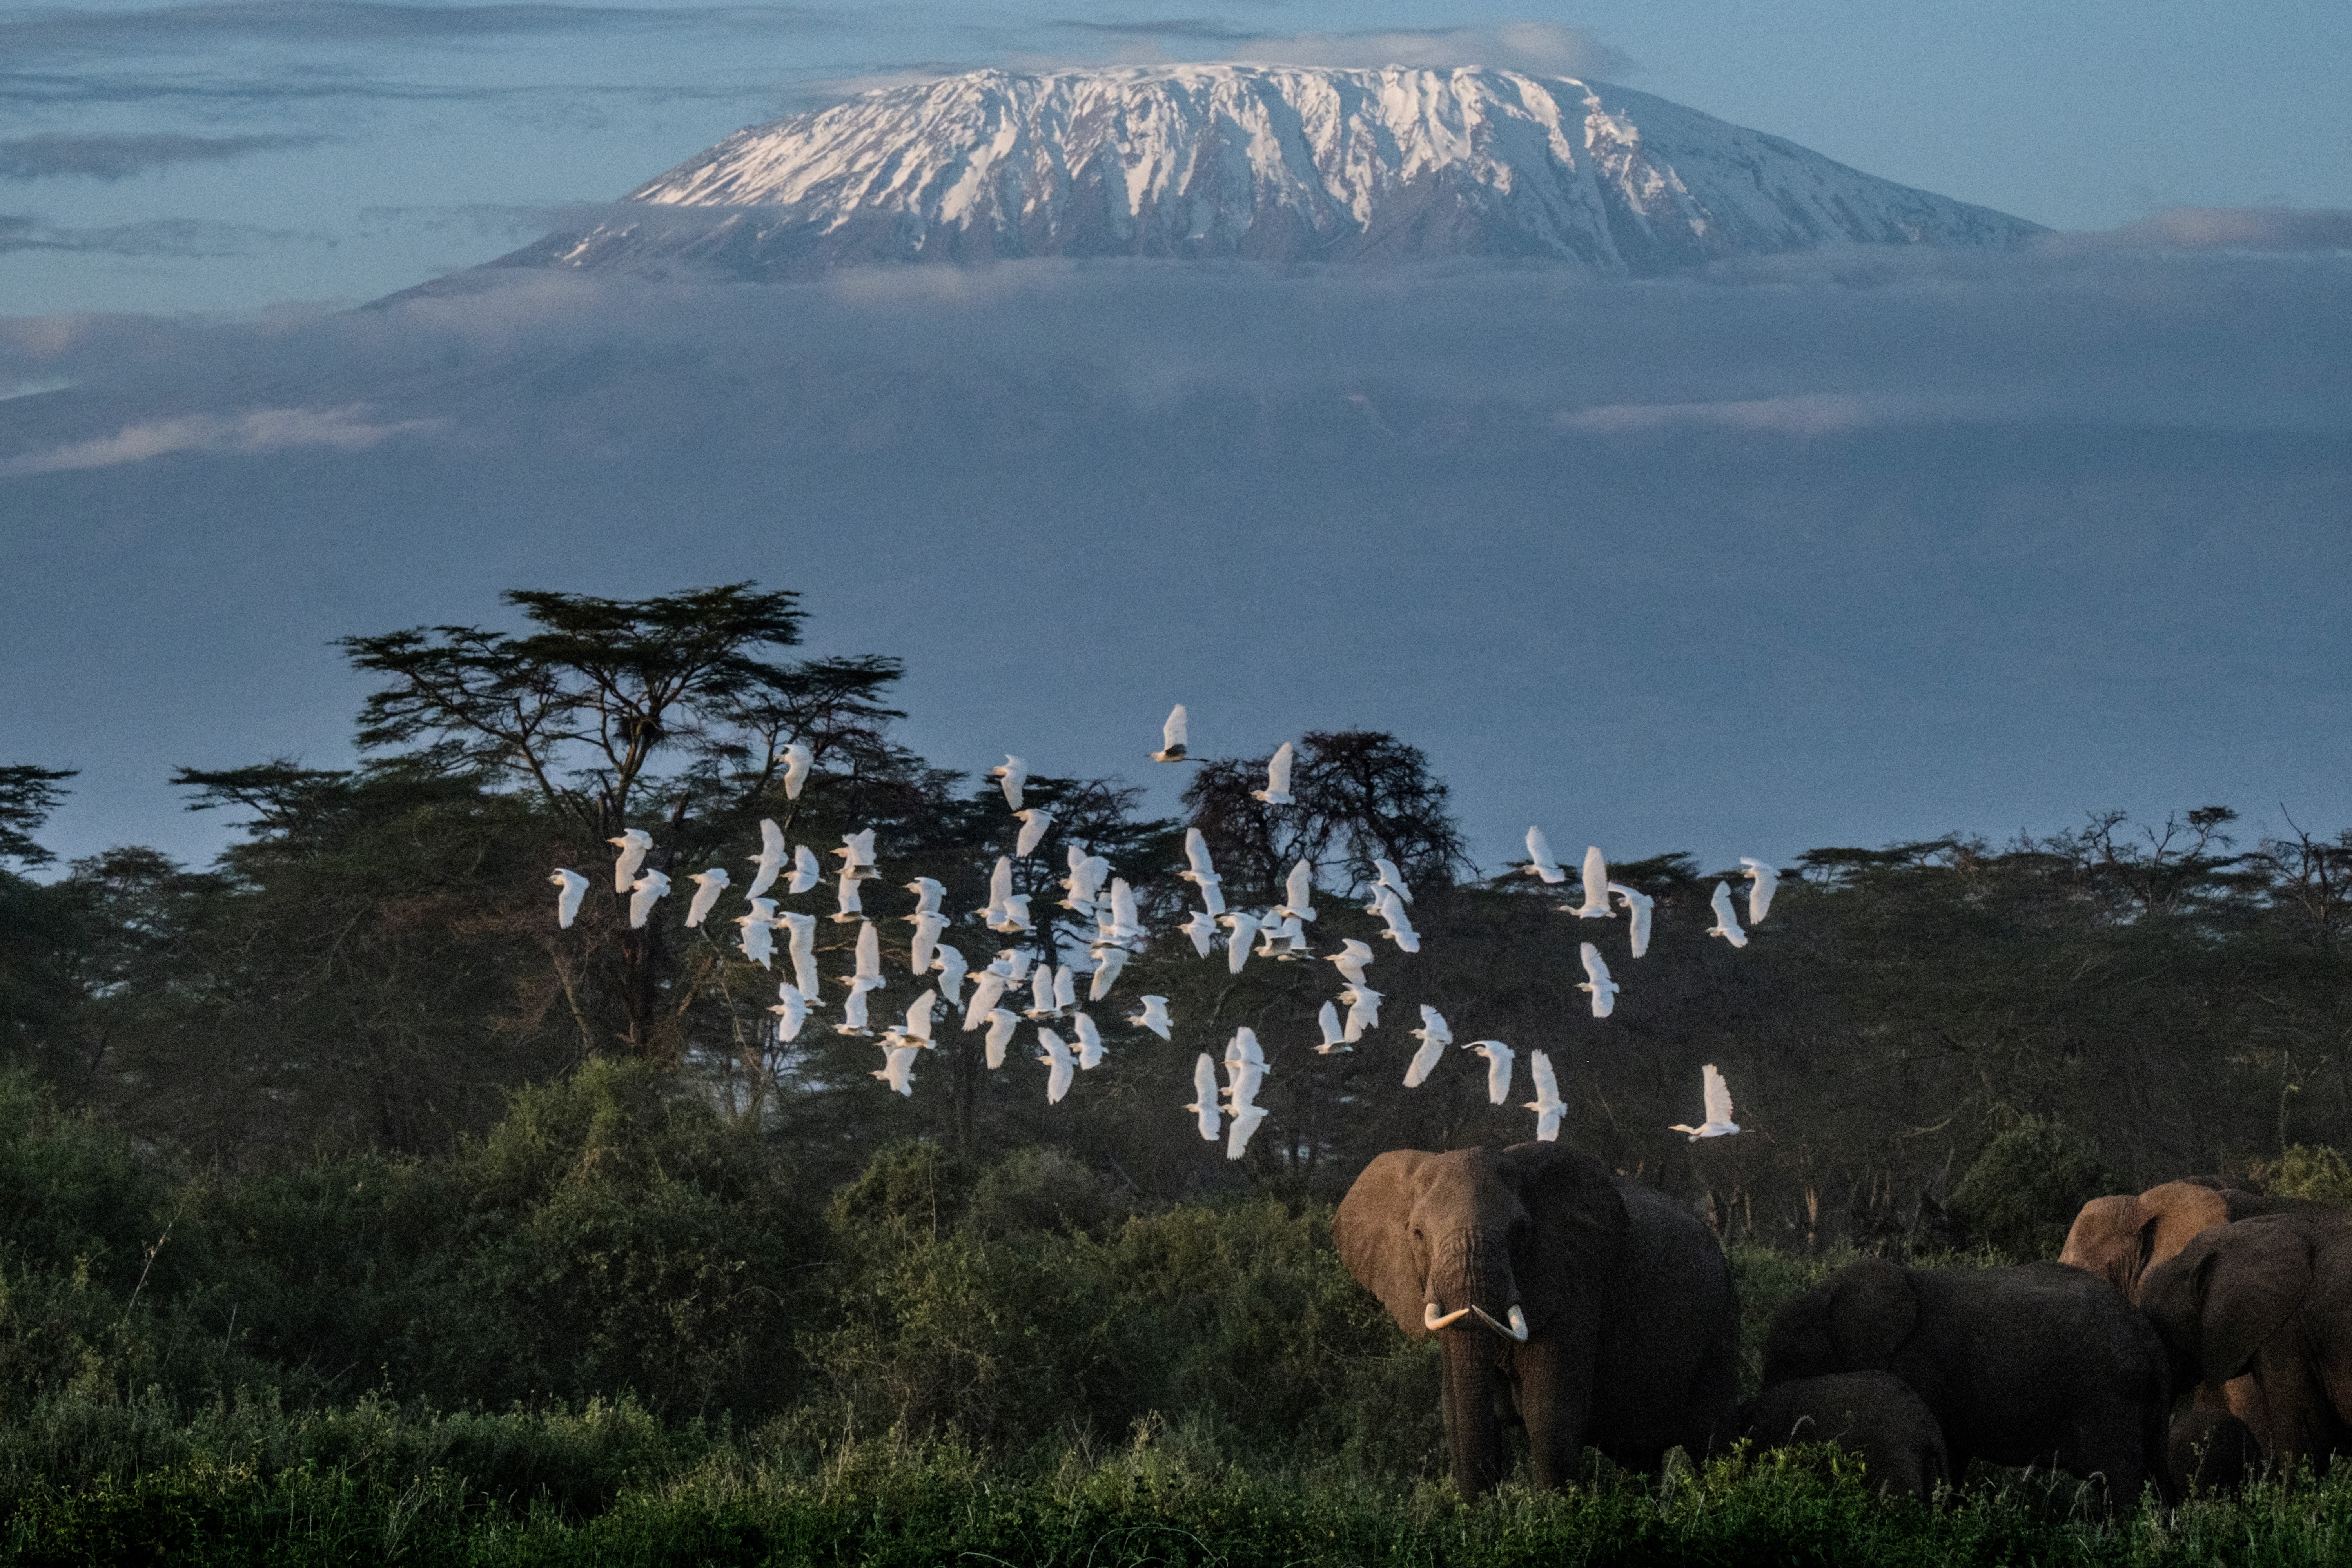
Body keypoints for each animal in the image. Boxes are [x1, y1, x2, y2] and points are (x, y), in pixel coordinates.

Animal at [1335, 1142, 1740, 1494]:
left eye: (1521, 1232)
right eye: (1418, 1234)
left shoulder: (1574, 1285)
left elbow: (1549, 1417)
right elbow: (1456, 1419)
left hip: (1723, 1318)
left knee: (1712, 1442)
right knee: (1639, 1462)